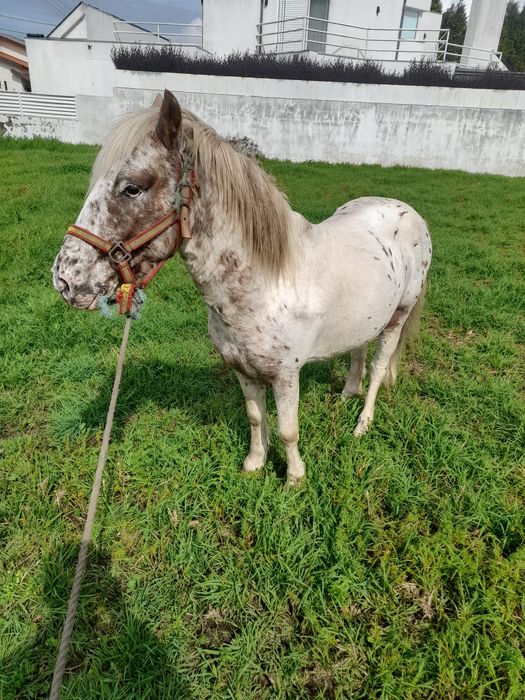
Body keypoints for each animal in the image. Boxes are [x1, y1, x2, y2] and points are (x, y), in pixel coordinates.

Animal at [52, 90, 432, 484]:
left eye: (132, 187)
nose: (65, 279)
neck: (264, 286)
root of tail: (407, 211)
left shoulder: (286, 376)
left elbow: (288, 430)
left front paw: (294, 479)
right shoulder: (241, 368)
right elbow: (254, 417)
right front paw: (254, 463)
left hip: (397, 318)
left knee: (379, 367)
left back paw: (362, 423)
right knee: (358, 352)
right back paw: (346, 395)